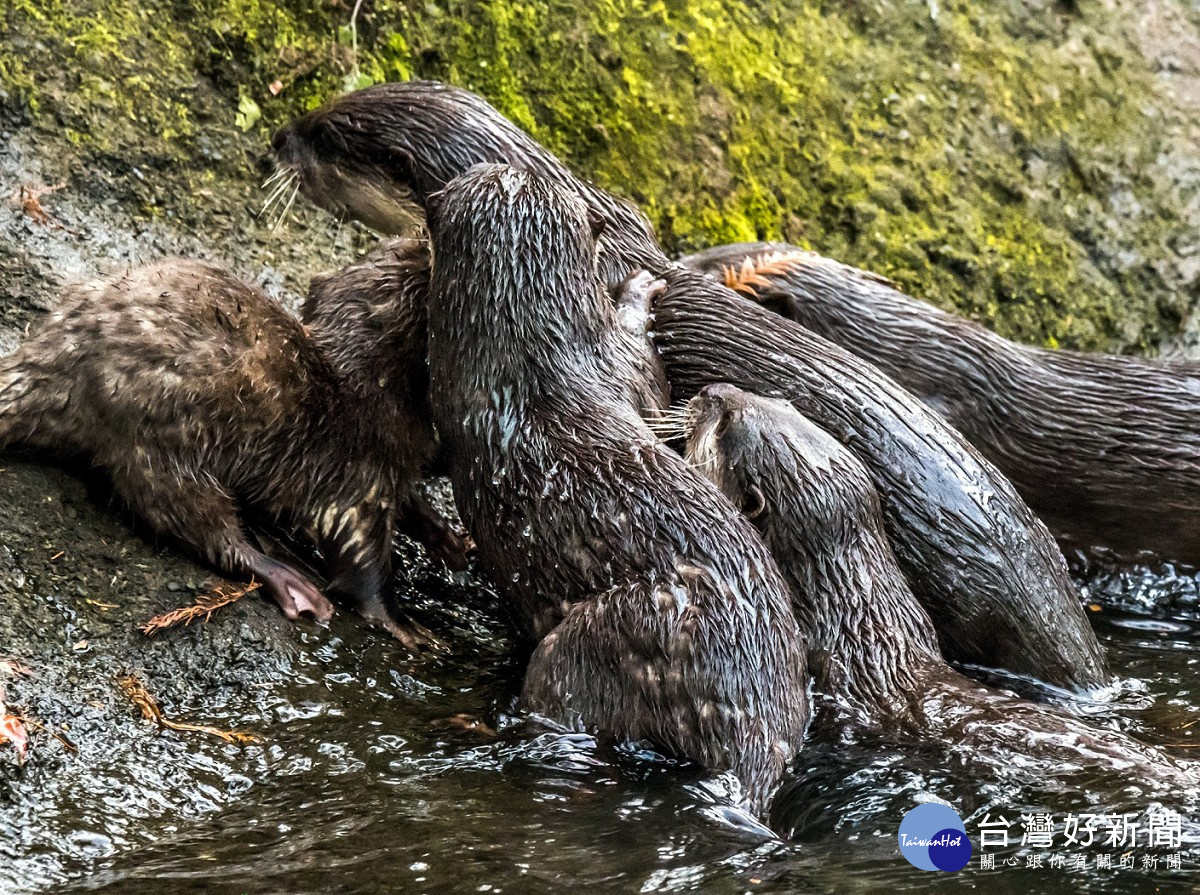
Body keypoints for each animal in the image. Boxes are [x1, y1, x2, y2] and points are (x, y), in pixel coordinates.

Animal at [0, 257, 427, 643]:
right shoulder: (366, 470)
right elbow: (361, 559)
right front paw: (407, 628)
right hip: (158, 441)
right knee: (197, 523)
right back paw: (290, 580)